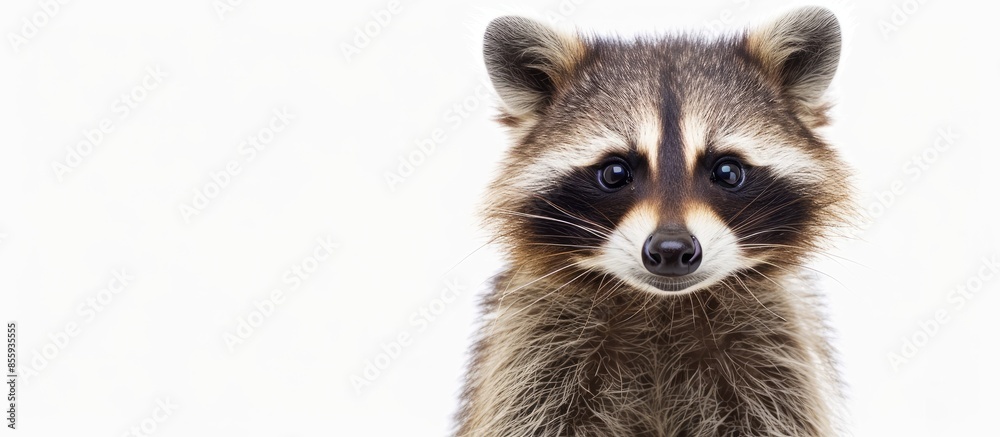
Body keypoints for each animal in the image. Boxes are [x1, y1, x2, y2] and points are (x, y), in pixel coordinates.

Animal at [457, 6, 851, 437]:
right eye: (615, 172)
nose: (672, 249)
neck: (662, 306)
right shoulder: (532, 348)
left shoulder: (774, 349)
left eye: (727, 171)